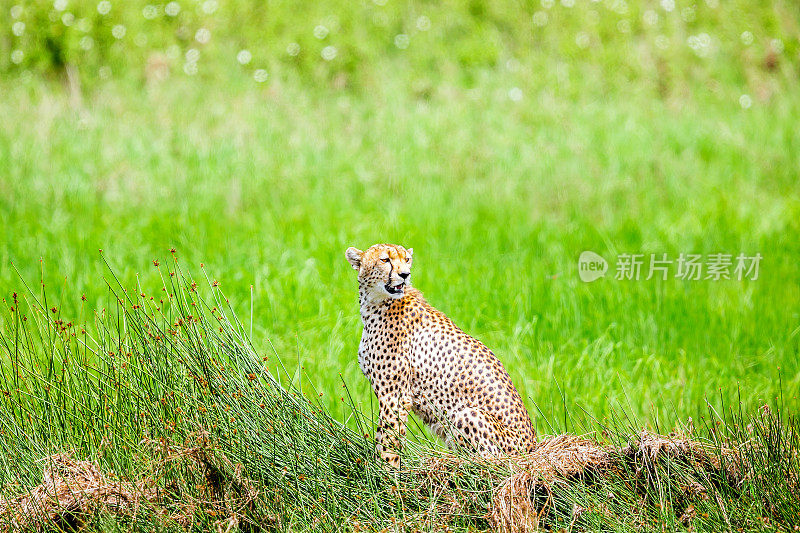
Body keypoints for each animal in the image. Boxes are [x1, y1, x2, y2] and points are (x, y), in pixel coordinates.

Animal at [346, 242, 536, 466]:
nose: (405, 274)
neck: (376, 304)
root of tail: (533, 449)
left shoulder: (395, 396)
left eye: (407, 260)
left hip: (469, 416)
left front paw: (386, 472)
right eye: (385, 260)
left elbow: (388, 443)